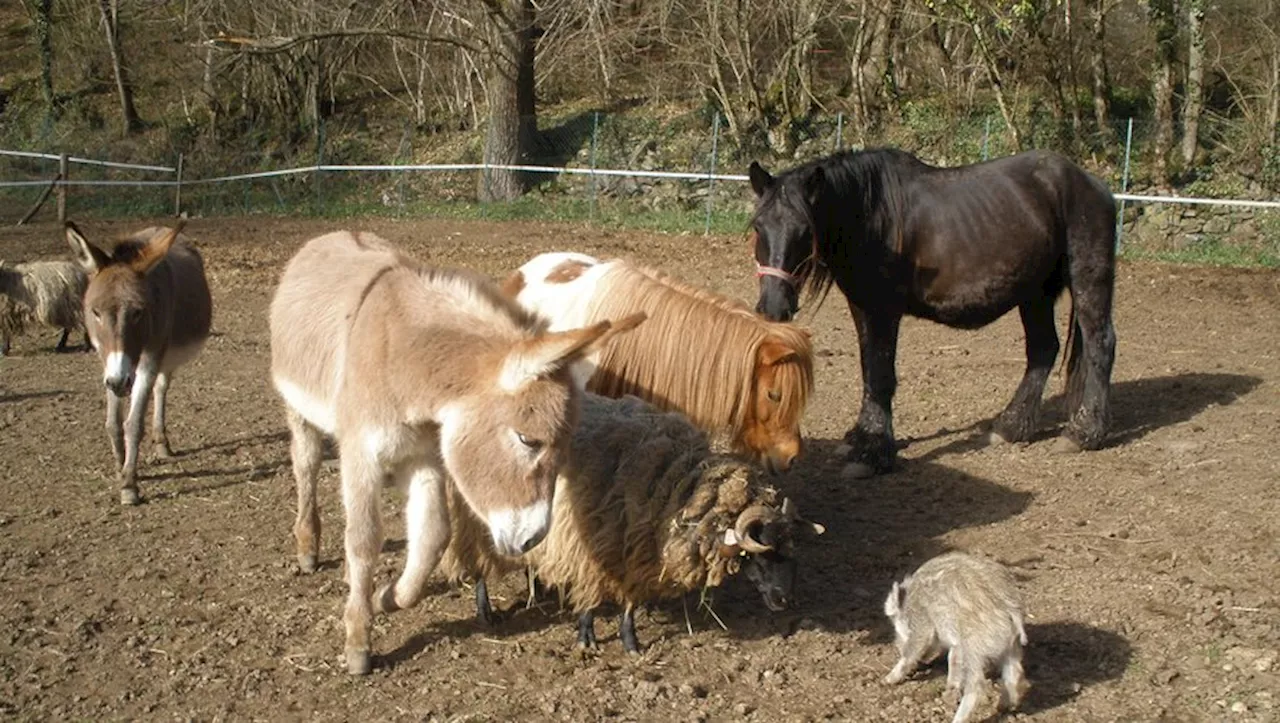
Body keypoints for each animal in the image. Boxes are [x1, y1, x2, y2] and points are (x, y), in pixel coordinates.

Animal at [65, 222, 212, 504]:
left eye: (137, 313)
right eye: (95, 312)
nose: (119, 382)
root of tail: (160, 227)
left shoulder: (150, 357)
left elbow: (133, 424)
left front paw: (129, 484)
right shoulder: (108, 361)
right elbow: (113, 423)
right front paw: (120, 467)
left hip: (166, 355)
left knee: (161, 388)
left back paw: (162, 442)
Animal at [273, 232, 645, 675]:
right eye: (528, 441)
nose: (533, 539)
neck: (408, 363)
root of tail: (330, 237)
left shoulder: (427, 456)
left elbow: (434, 536)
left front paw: (385, 597)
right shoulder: (361, 453)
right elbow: (364, 539)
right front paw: (358, 642)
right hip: (299, 410)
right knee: (306, 466)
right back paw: (308, 548)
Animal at [747, 147, 1116, 476]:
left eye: (804, 231)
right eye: (758, 227)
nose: (773, 308)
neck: (871, 217)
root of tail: (1094, 185)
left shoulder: (883, 310)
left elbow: (880, 375)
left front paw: (873, 453)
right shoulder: (862, 306)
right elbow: (868, 371)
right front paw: (860, 438)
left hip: (1087, 279)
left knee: (1100, 345)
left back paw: (1083, 433)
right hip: (1035, 291)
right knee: (1043, 349)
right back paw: (1011, 427)